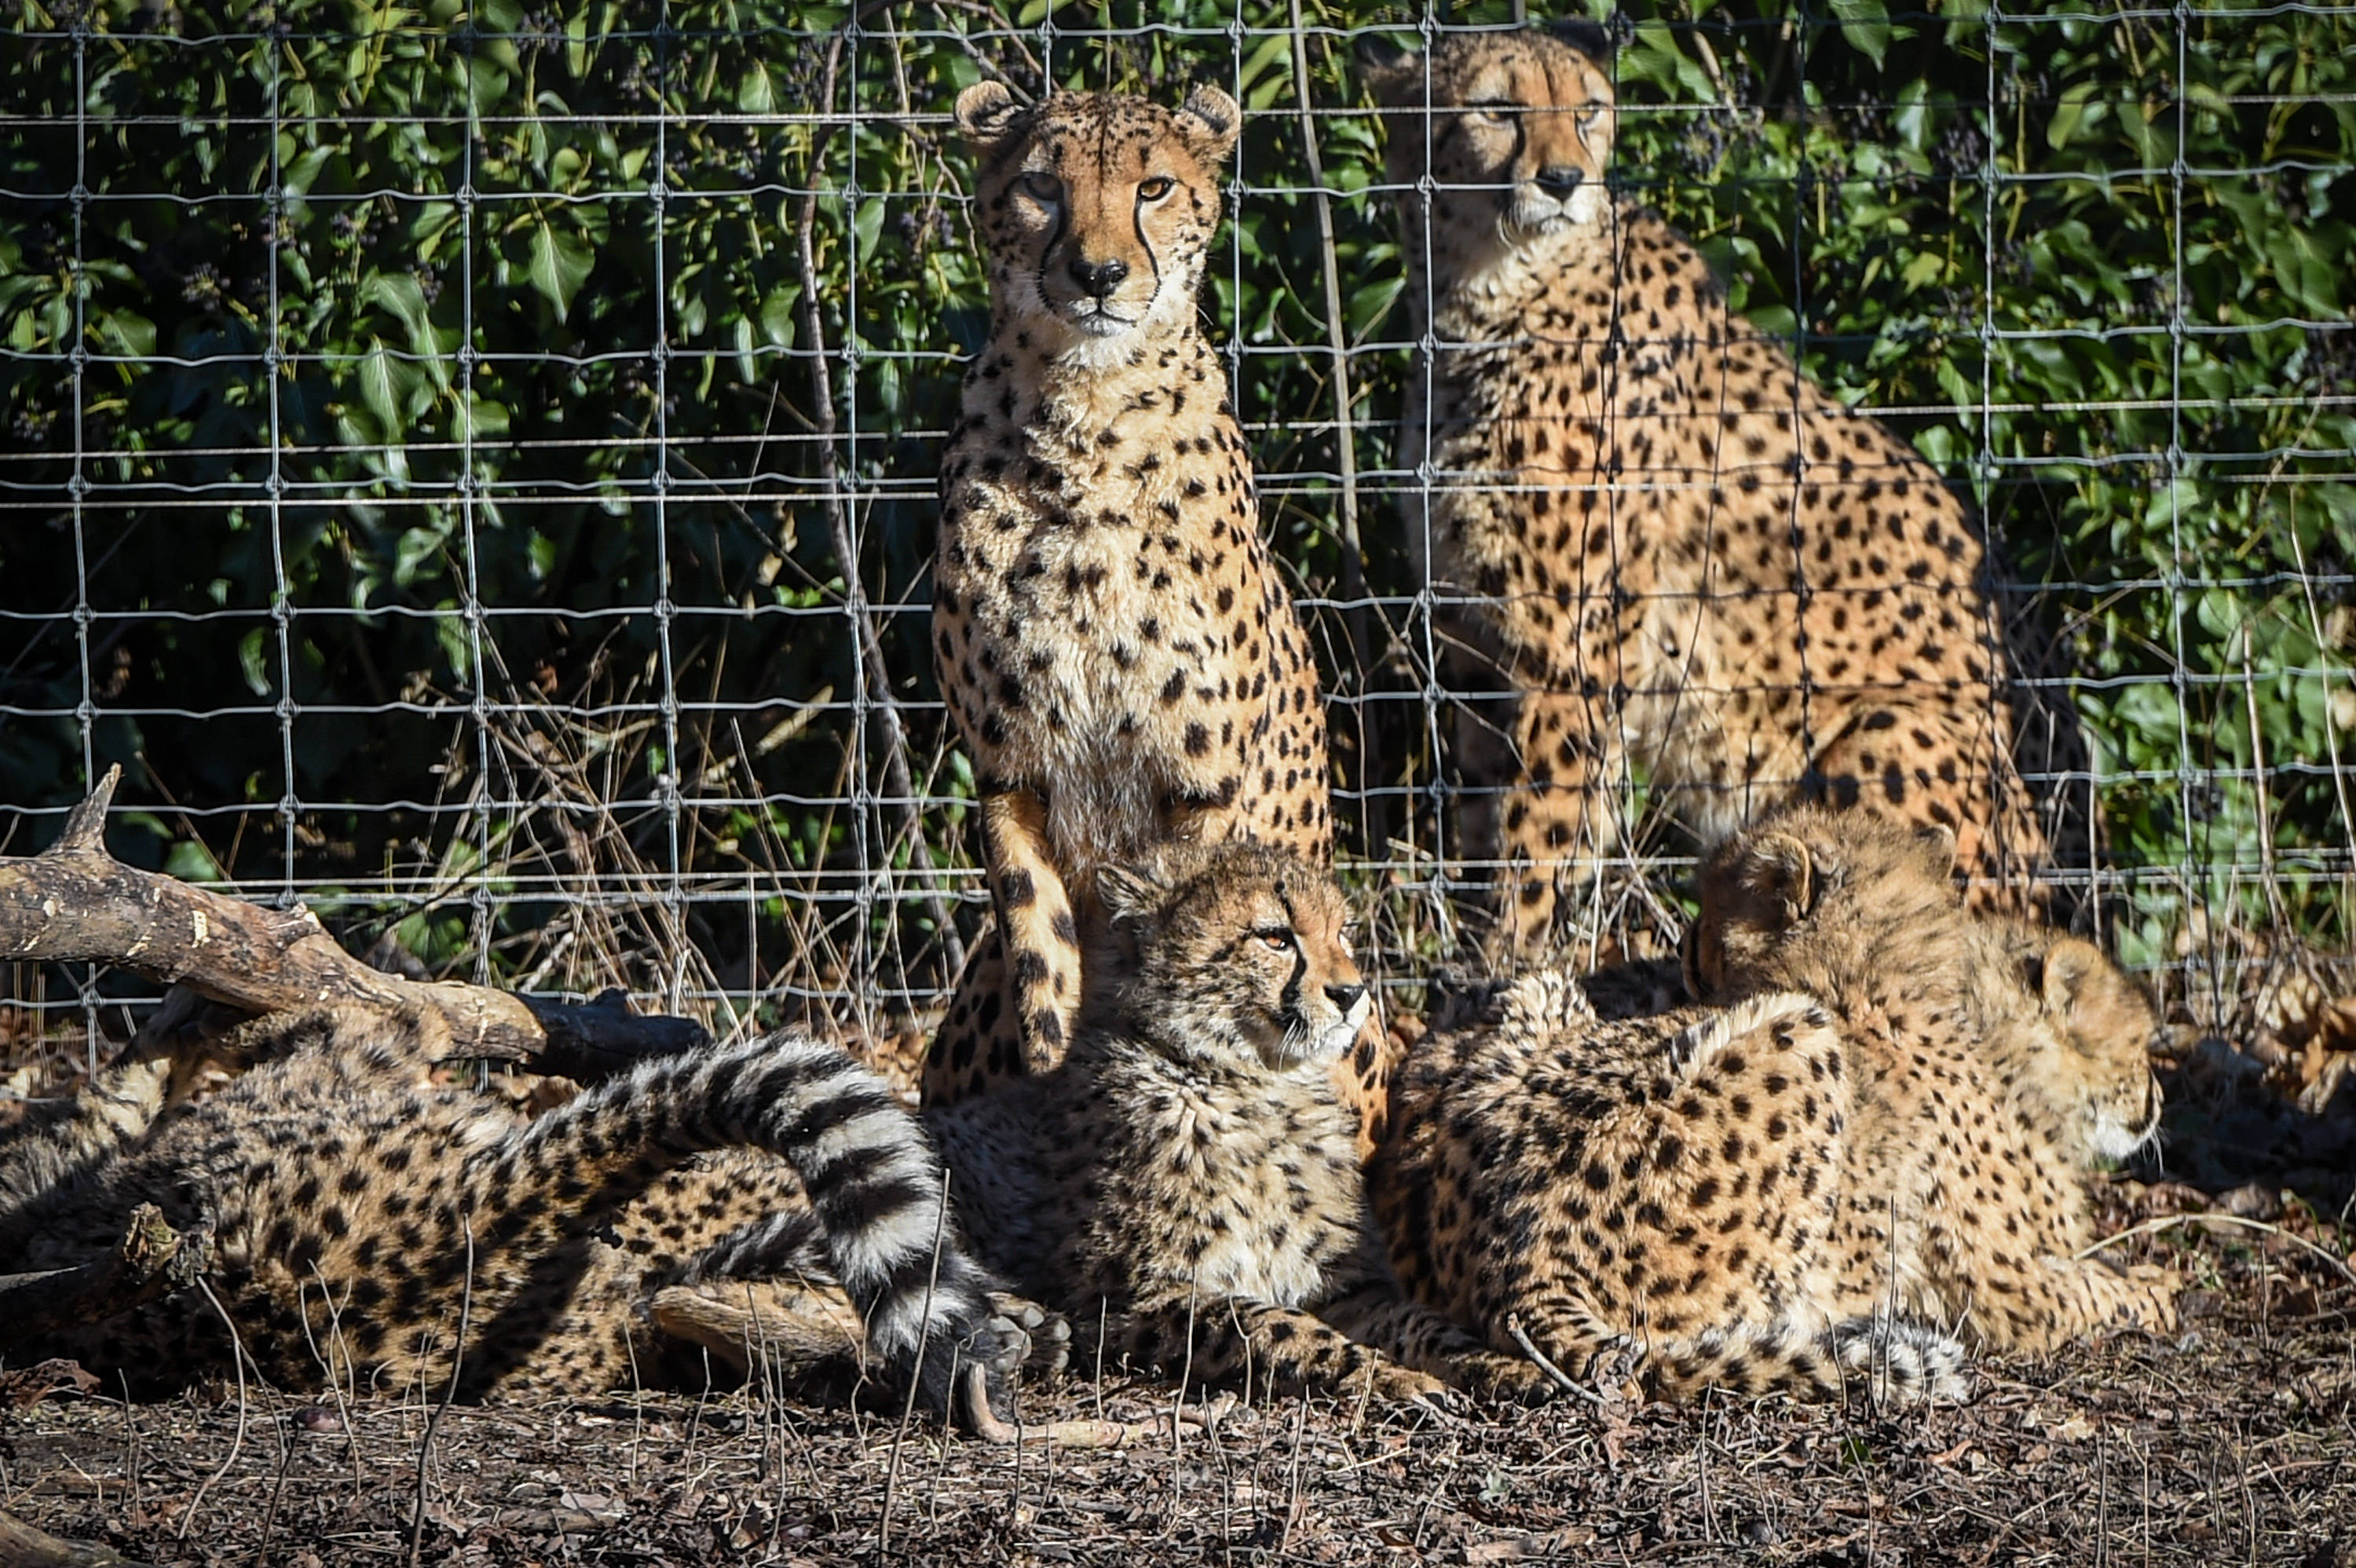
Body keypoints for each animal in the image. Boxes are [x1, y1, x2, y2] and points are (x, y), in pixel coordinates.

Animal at [919, 79, 1385, 1144]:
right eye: (1042, 185)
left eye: (1156, 186)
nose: (1098, 273)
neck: (1085, 415)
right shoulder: (1011, 776)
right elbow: (1045, 976)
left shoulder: (1198, 786)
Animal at [928, 838, 1555, 1394]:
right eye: (1275, 937)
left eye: (1341, 932)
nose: (1351, 992)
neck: (1249, 1083)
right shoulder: (1131, 1299)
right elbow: (1276, 1325)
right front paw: (1390, 1376)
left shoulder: (1348, 1289)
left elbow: (1420, 1321)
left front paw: (1501, 1364)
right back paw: (1022, 1331)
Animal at [1357, 24, 2054, 946]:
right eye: (1498, 109)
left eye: (1588, 110)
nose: (1564, 179)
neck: (1486, 296)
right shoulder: (1476, 642)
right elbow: (1485, 826)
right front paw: (1473, 955)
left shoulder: (1571, 660)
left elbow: (1538, 840)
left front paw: (1514, 961)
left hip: (1887, 733)